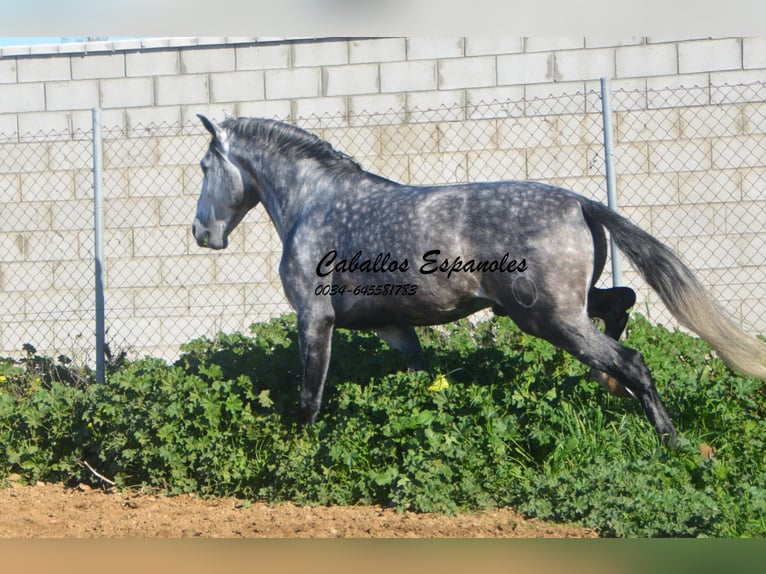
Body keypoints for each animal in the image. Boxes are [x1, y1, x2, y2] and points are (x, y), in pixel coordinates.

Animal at [194, 115, 766, 448]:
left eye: (203, 165)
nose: (202, 233)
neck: (315, 204)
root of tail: (581, 202)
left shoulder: (314, 318)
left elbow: (309, 397)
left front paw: (295, 452)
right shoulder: (394, 327)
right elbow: (422, 378)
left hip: (549, 319)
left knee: (632, 360)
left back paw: (671, 438)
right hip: (564, 308)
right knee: (620, 304)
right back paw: (609, 387)